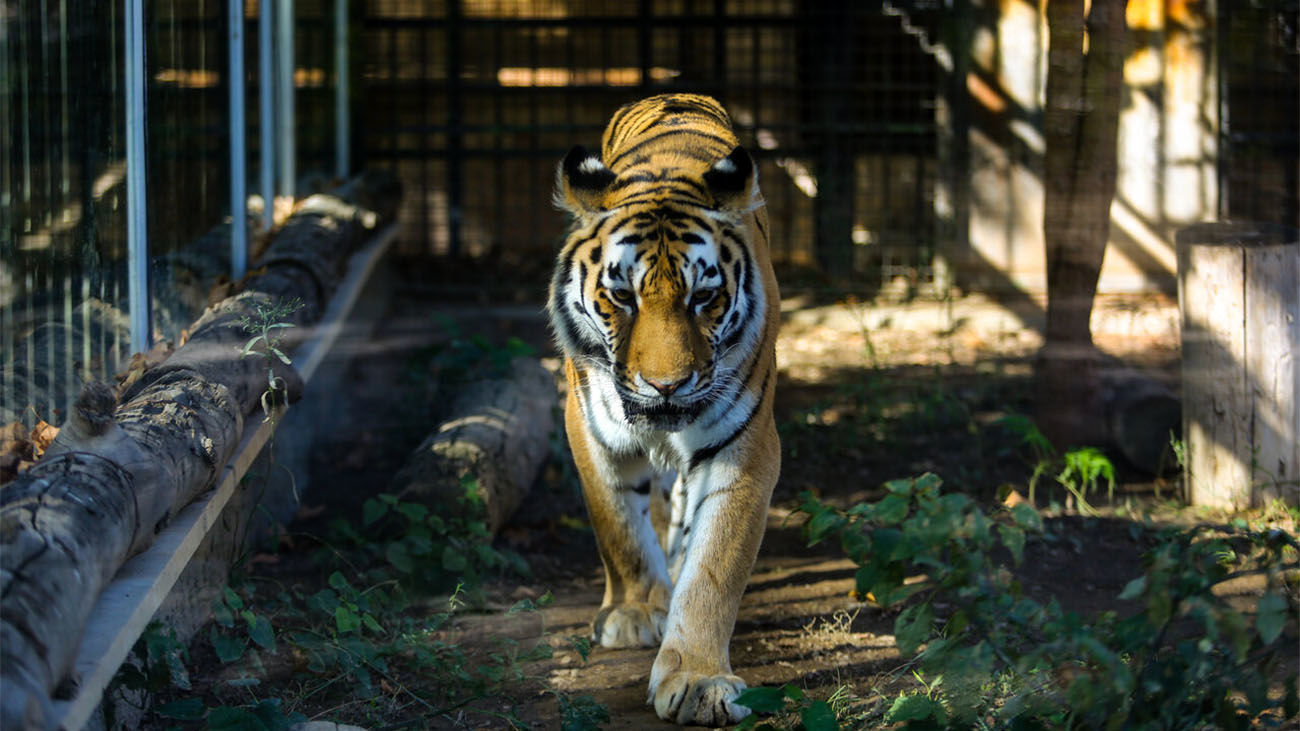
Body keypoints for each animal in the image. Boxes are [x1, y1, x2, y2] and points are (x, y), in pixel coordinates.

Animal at [546, 92, 780, 723]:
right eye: (621, 296)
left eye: (704, 297)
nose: (666, 385)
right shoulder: (589, 428)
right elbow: (619, 527)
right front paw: (633, 613)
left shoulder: (744, 447)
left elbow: (715, 565)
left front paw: (698, 679)